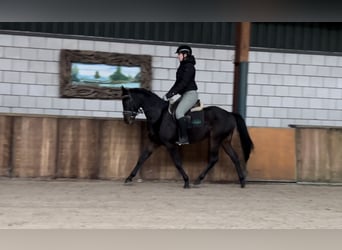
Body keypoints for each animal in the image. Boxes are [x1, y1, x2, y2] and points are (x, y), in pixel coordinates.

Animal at [121, 87, 254, 188]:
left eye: (127, 101)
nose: (127, 120)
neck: (159, 114)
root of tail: (229, 114)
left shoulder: (170, 144)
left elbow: (177, 162)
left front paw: (186, 181)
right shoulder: (154, 142)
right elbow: (142, 158)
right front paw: (129, 178)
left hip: (215, 139)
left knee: (214, 159)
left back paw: (198, 179)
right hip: (225, 141)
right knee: (234, 157)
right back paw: (242, 181)